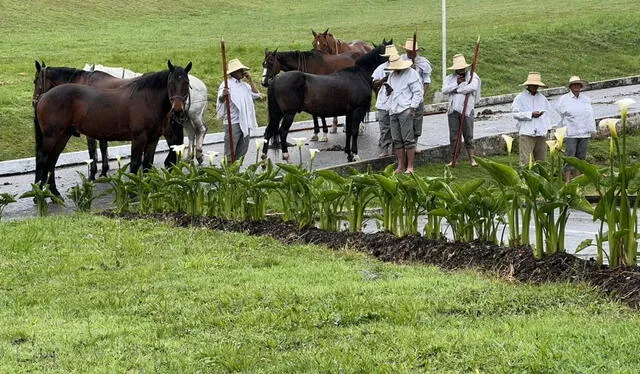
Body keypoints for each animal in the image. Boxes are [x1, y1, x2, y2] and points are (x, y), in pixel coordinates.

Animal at [34, 60, 190, 196]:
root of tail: (44, 96)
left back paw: (53, 192)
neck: (147, 99)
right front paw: (132, 191)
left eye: (186, 83)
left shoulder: (152, 139)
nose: (177, 110)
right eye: (170, 83)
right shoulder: (138, 139)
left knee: (52, 160)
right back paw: (39, 194)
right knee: (43, 159)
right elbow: (134, 164)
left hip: (62, 136)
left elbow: (147, 164)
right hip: (52, 137)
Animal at [262, 41, 390, 162]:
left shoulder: (349, 112)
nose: (263, 82)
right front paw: (355, 155)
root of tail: (275, 81)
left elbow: (348, 131)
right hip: (288, 114)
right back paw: (285, 155)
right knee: (283, 131)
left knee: (268, 131)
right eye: (265, 63)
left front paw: (349, 154)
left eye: (270, 62)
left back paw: (263, 159)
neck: (359, 75)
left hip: (277, 113)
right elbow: (353, 131)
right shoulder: (357, 110)